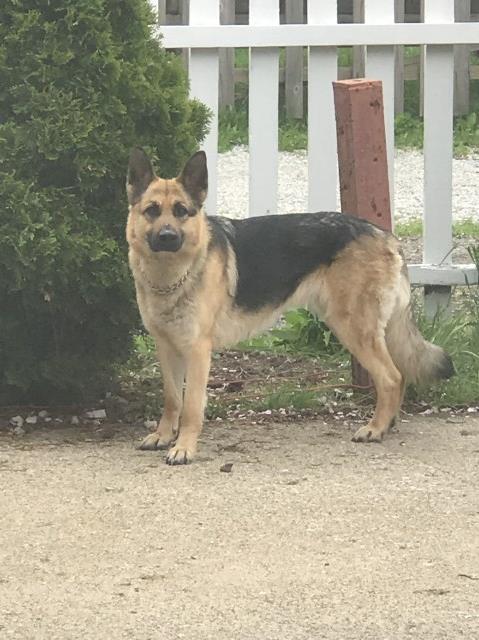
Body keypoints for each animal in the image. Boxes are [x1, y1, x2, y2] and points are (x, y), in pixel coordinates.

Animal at [126, 148, 454, 462]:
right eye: (152, 211)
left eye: (182, 211)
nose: (167, 236)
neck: (172, 275)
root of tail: (386, 236)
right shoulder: (166, 348)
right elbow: (172, 399)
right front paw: (164, 436)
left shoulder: (197, 351)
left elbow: (191, 406)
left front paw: (184, 448)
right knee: (399, 376)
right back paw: (388, 424)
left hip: (353, 329)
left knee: (392, 377)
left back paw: (375, 428)